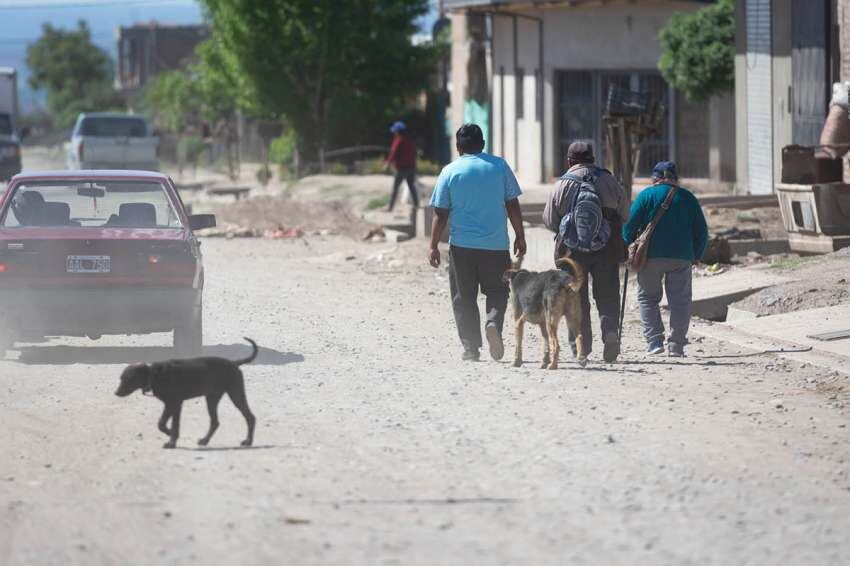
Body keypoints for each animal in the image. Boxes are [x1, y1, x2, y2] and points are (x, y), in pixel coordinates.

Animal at [115, 340, 258, 450]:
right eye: (121, 378)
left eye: (128, 379)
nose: (116, 393)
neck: (154, 375)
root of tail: (234, 363)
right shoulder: (171, 405)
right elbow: (162, 423)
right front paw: (170, 435)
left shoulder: (175, 404)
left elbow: (170, 424)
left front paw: (171, 441)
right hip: (212, 398)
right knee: (215, 422)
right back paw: (205, 440)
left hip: (236, 394)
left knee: (250, 417)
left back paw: (248, 441)